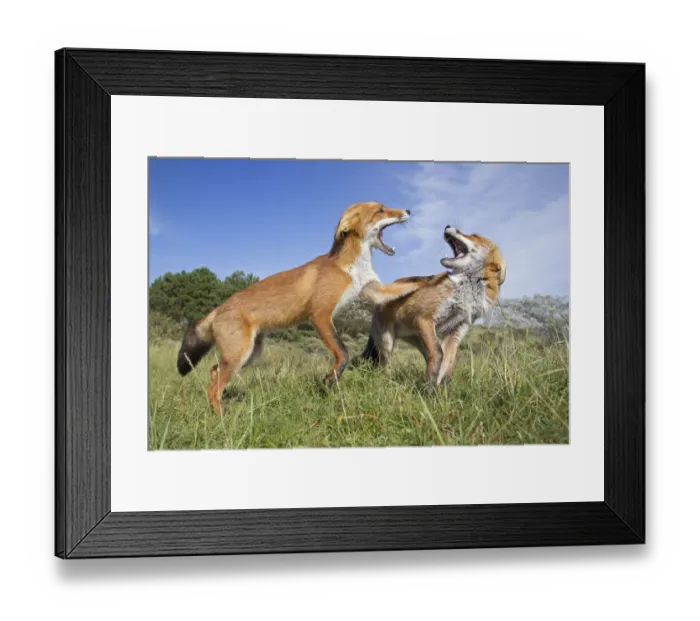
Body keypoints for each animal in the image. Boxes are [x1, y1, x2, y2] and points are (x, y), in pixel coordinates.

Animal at [177, 201, 422, 415]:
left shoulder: (371, 289)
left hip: (249, 355)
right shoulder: (320, 314)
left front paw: (429, 281)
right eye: (381, 210)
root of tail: (218, 309)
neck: (350, 267)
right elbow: (343, 352)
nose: (409, 210)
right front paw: (330, 380)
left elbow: (407, 286)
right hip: (240, 355)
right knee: (213, 389)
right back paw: (222, 419)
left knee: (213, 372)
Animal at [359, 225, 506, 386]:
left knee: (428, 356)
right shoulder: (425, 318)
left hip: (420, 340)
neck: (466, 293)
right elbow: (439, 353)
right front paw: (430, 387)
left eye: (474, 235)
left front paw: (441, 389)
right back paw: (386, 381)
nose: (447, 225)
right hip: (387, 343)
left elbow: (447, 364)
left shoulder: (457, 330)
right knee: (383, 366)